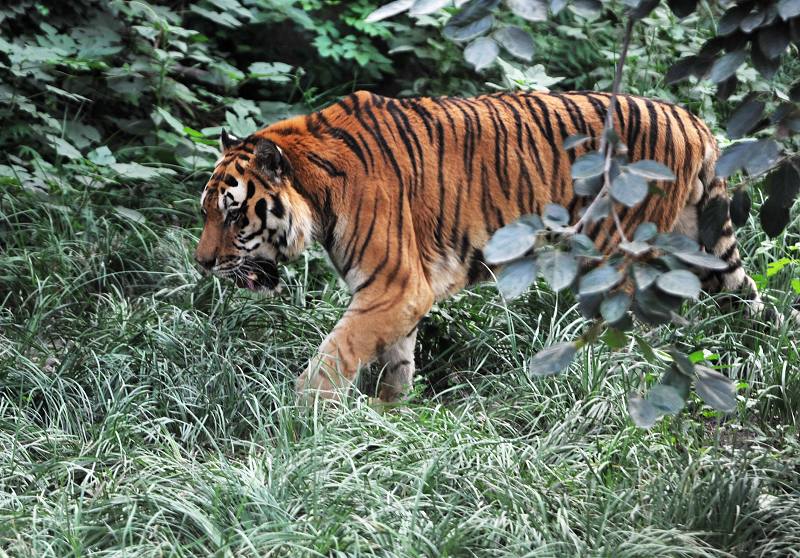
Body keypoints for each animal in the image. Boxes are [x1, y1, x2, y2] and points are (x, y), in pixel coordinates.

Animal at [195, 90, 766, 403]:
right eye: (206, 211)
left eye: (232, 212)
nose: (201, 264)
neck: (318, 191)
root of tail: (692, 120)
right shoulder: (400, 293)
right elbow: (396, 361)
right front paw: (387, 416)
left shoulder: (394, 286)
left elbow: (335, 355)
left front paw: (300, 420)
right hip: (697, 240)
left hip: (614, 257)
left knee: (629, 331)